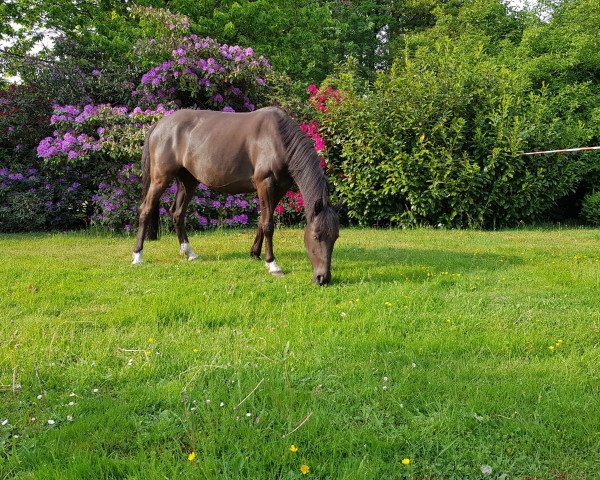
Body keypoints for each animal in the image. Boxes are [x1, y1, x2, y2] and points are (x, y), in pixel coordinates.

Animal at [132, 107, 338, 284]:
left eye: (335, 237)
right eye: (317, 236)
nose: (323, 278)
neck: (278, 139)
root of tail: (159, 124)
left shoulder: (279, 188)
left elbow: (262, 221)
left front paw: (255, 253)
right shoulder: (265, 184)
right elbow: (268, 224)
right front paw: (272, 264)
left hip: (187, 181)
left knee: (177, 213)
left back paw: (189, 252)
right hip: (160, 178)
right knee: (146, 209)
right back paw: (137, 256)